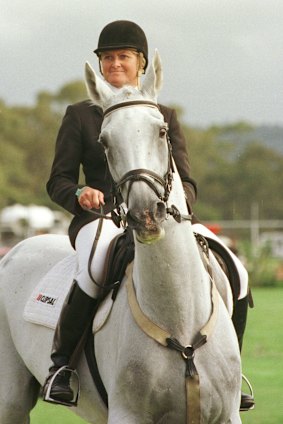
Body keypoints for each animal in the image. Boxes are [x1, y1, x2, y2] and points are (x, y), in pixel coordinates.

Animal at [0, 51, 242, 422]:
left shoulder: (228, 414)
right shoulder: (128, 413)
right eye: (104, 141)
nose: (145, 215)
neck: (179, 319)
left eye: (162, 131)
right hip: (10, 397)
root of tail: (15, 250)